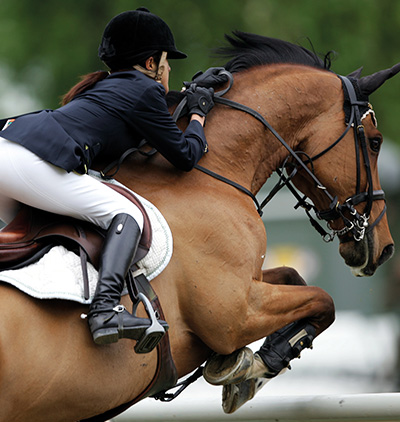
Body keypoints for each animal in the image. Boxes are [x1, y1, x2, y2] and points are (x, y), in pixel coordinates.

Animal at [0, 31, 396, 420]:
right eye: (375, 142)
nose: (384, 247)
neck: (207, 176)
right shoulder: (235, 314)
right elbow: (323, 299)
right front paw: (255, 366)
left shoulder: (250, 286)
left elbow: (294, 277)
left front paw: (244, 364)